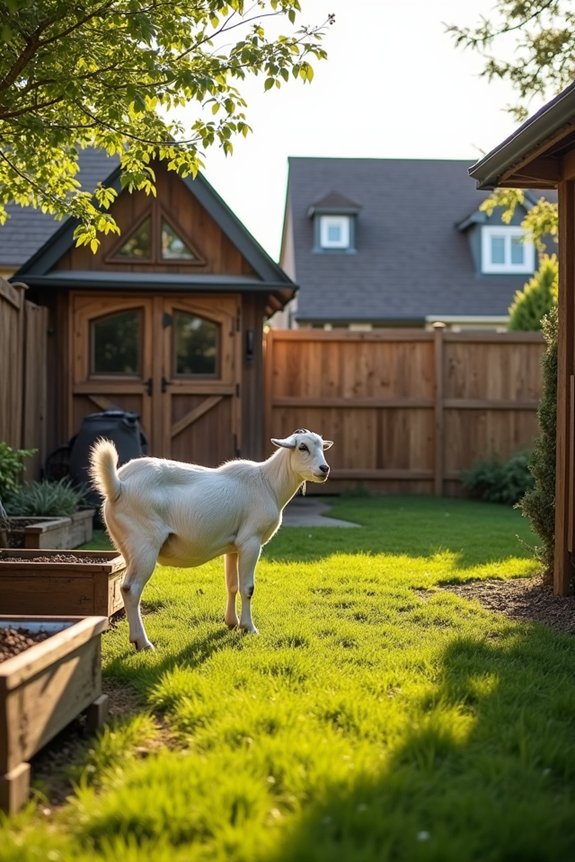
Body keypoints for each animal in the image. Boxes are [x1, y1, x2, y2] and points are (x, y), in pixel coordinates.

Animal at [89, 429, 333, 650]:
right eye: (302, 447)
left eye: (322, 447)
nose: (325, 469)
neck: (269, 484)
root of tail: (119, 486)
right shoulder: (251, 541)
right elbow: (248, 588)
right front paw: (249, 628)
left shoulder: (234, 546)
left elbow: (232, 585)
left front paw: (232, 622)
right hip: (144, 544)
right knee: (131, 589)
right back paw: (143, 643)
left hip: (127, 546)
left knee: (126, 587)